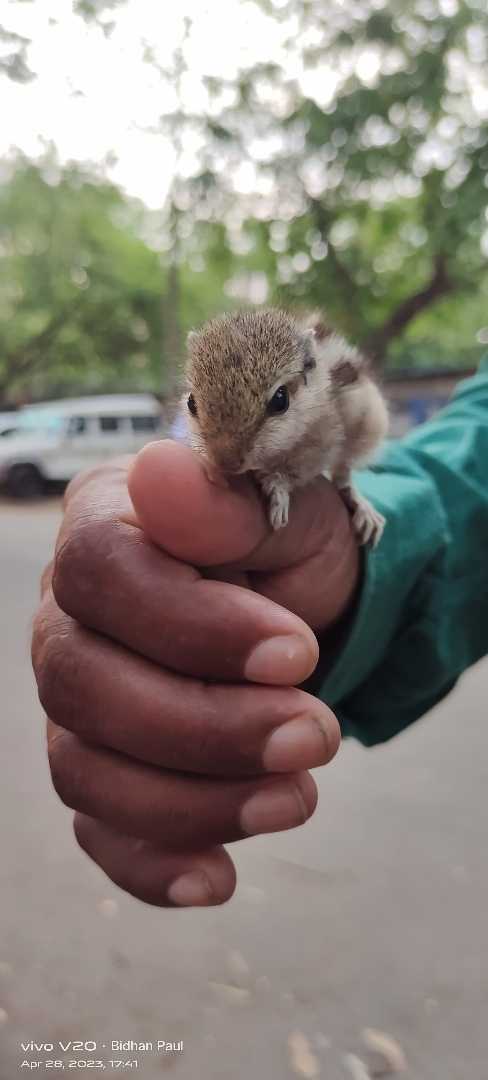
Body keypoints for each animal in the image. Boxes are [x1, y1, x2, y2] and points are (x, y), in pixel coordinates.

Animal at [182, 308, 388, 547]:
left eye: (280, 400)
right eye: (191, 402)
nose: (225, 463)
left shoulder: (320, 445)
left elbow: (294, 473)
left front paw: (277, 488)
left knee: (343, 473)